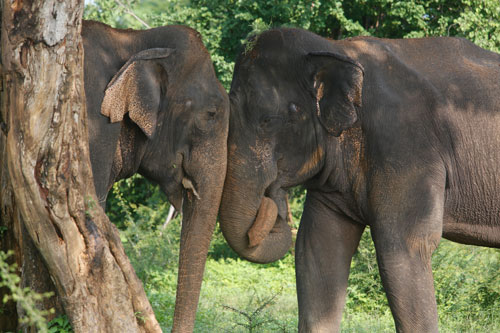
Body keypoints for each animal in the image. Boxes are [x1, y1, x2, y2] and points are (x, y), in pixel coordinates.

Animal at [221, 27, 500, 332]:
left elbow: (404, 247)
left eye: (268, 120)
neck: (335, 48)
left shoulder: (406, 149)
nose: (273, 201)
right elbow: (318, 247)